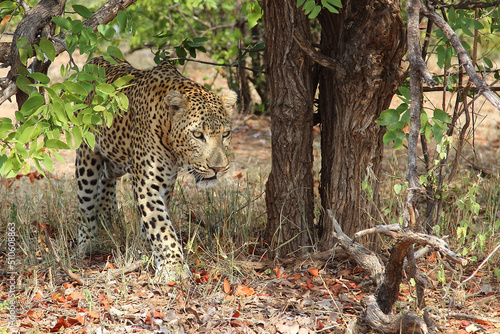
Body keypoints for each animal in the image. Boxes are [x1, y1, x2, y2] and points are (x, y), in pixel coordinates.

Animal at [75, 56, 237, 280]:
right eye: (197, 135)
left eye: (226, 134)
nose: (218, 168)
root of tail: (95, 59)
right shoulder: (147, 184)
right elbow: (161, 227)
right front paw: (173, 266)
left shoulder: (165, 184)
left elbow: (150, 225)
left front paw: (147, 251)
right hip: (87, 158)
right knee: (86, 203)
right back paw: (87, 242)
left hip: (116, 158)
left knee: (107, 178)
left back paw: (109, 216)